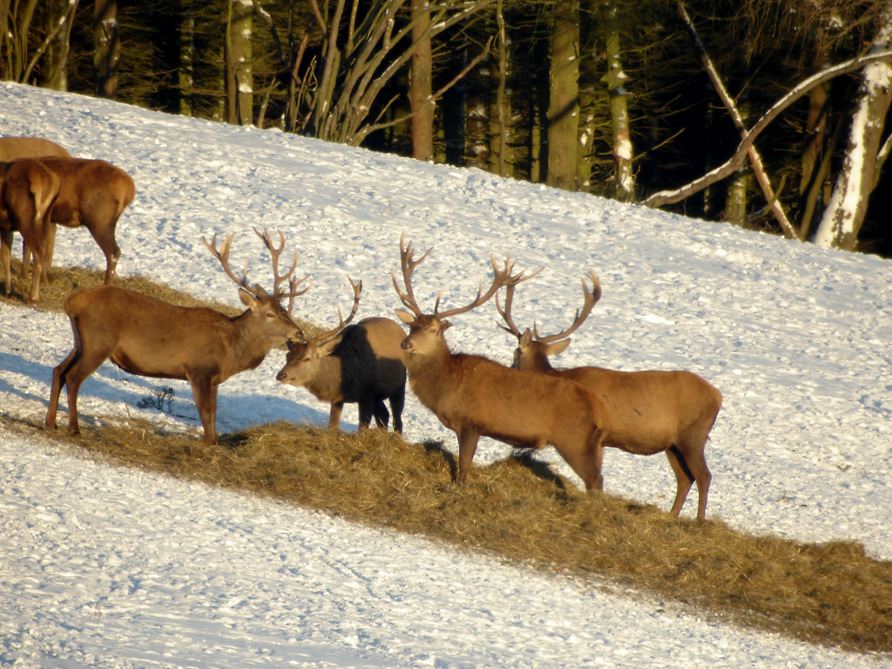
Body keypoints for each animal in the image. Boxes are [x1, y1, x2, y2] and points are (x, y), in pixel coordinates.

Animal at [0, 159, 60, 300]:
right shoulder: (5, 227)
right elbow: (6, 255)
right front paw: (8, 289)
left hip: (25, 219)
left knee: (38, 253)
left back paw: (33, 297)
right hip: (45, 220)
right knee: (42, 251)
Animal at [46, 228, 310, 444]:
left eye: (284, 310)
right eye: (269, 314)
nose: (299, 333)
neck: (229, 350)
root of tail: (72, 301)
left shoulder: (213, 378)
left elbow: (214, 413)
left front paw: (215, 443)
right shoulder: (198, 369)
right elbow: (205, 412)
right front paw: (210, 445)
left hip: (81, 342)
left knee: (58, 370)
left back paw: (51, 422)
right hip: (99, 341)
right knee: (73, 377)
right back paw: (74, 428)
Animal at [276, 276, 408, 434]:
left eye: (307, 358)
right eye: (287, 356)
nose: (281, 375)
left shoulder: (367, 394)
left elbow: (362, 427)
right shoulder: (338, 398)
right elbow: (333, 424)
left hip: (399, 385)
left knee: (397, 419)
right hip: (379, 396)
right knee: (384, 414)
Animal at [390, 232, 608, 488]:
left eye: (433, 330)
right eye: (411, 325)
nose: (405, 344)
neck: (447, 386)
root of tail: (598, 409)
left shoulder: (472, 422)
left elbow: (463, 468)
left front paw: (459, 489)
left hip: (573, 439)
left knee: (595, 479)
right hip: (592, 444)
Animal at [498, 268, 720, 520]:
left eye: (515, 353)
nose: (509, 368)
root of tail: (718, 396)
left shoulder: (593, 433)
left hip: (693, 434)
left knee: (703, 476)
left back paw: (699, 521)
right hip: (672, 443)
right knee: (684, 478)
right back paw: (671, 517)